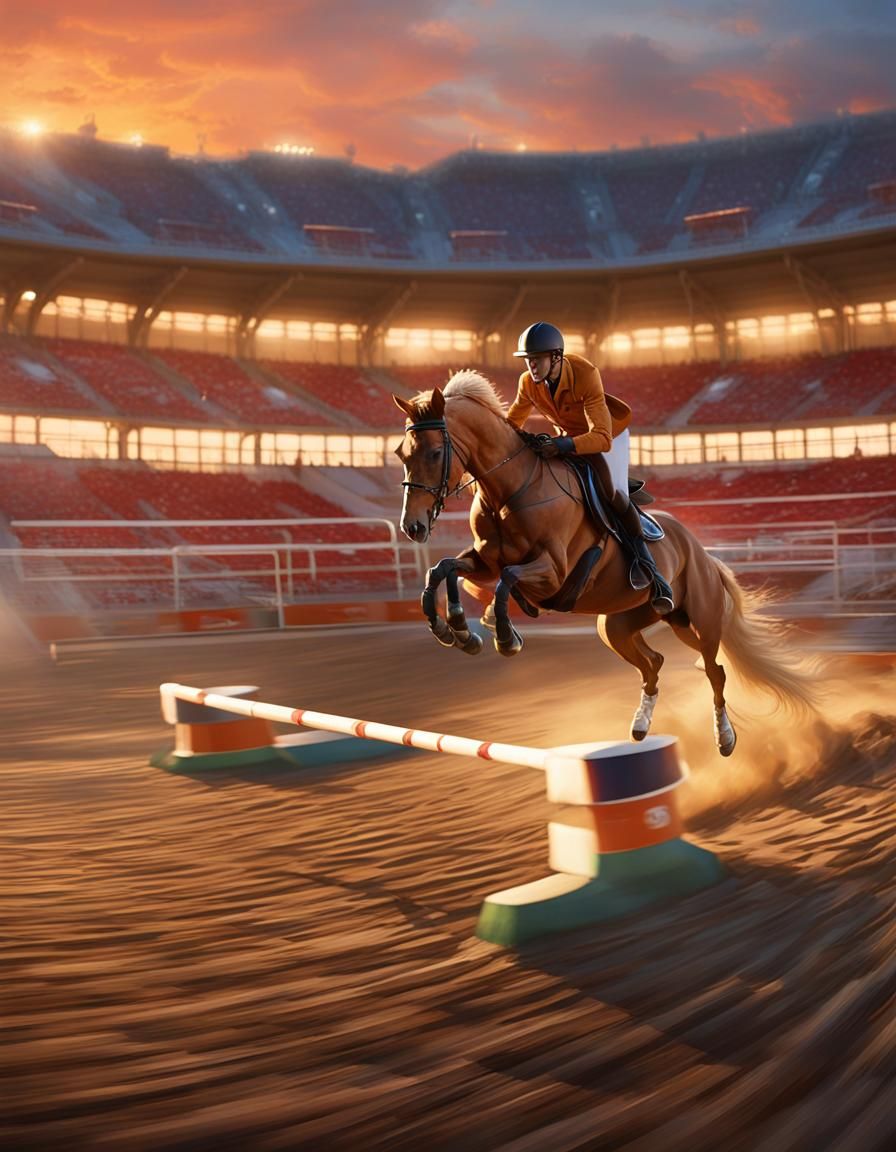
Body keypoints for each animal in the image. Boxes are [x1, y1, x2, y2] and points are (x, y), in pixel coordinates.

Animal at [393, 369, 820, 757]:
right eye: (400, 454)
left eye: (435, 452)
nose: (412, 526)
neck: (511, 490)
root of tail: (703, 553)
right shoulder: (485, 560)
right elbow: (444, 569)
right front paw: (455, 630)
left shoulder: (553, 572)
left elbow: (505, 581)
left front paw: (503, 637)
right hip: (618, 625)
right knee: (653, 663)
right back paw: (640, 726)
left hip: (699, 620)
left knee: (714, 670)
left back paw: (725, 739)